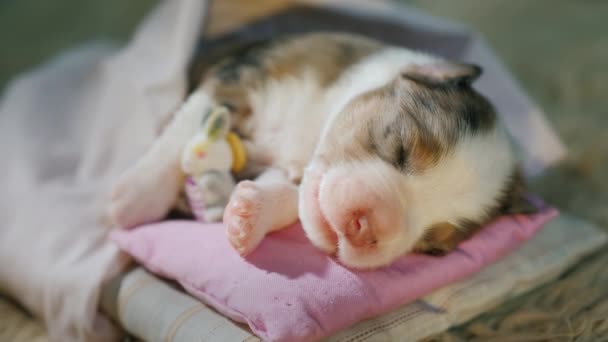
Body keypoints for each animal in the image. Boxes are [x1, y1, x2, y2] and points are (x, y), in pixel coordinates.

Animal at [109, 32, 532, 268]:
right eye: (398, 145)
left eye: (431, 245)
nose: (367, 230)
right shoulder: (243, 77)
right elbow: (186, 127)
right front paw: (133, 201)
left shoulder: (294, 170)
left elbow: (288, 194)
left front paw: (248, 216)